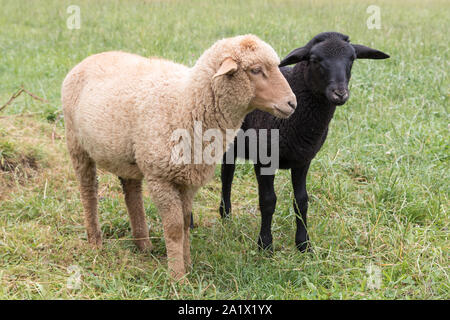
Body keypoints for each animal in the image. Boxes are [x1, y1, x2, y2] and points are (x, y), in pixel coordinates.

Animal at [61, 34, 298, 278]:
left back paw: (143, 244)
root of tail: (89, 59)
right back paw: (95, 241)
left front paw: (188, 265)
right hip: (77, 144)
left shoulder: (188, 179)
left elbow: (185, 223)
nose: (292, 103)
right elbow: (174, 228)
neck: (187, 103)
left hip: (128, 155)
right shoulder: (160, 177)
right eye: (256, 70)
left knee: (132, 192)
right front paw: (177, 276)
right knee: (88, 191)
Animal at [216, 33, 388, 252]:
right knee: (224, 175)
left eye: (352, 59)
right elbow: (268, 201)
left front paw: (304, 244)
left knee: (227, 173)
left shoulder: (303, 159)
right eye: (314, 60)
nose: (340, 93)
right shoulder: (264, 160)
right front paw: (265, 244)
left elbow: (301, 201)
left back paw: (226, 214)